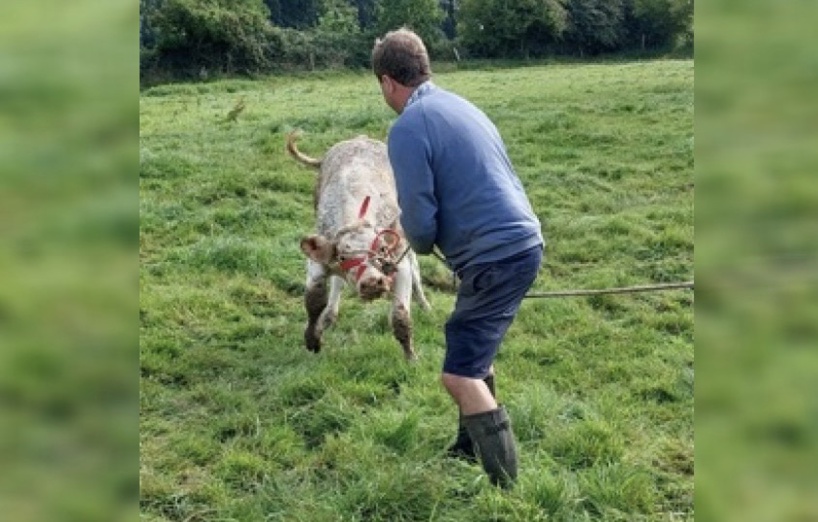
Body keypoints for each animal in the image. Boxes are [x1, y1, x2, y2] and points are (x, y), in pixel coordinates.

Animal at [287, 132, 431, 361]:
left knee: (415, 264)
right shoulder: (318, 261)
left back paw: (425, 304)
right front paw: (313, 338)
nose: (372, 282)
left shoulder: (399, 263)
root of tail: (360, 138)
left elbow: (400, 317)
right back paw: (329, 316)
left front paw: (411, 358)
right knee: (336, 284)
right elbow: (314, 301)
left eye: (382, 249)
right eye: (343, 257)